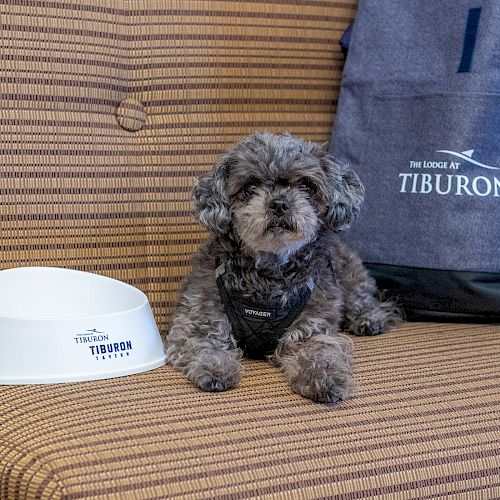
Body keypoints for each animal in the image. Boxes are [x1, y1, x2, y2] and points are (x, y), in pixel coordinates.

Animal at [164, 132, 398, 402]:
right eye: (250, 187)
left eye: (306, 186)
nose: (279, 204)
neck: (269, 272)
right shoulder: (198, 319)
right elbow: (205, 345)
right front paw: (215, 368)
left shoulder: (311, 327)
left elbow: (321, 352)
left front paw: (326, 379)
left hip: (348, 273)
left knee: (363, 298)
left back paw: (370, 319)